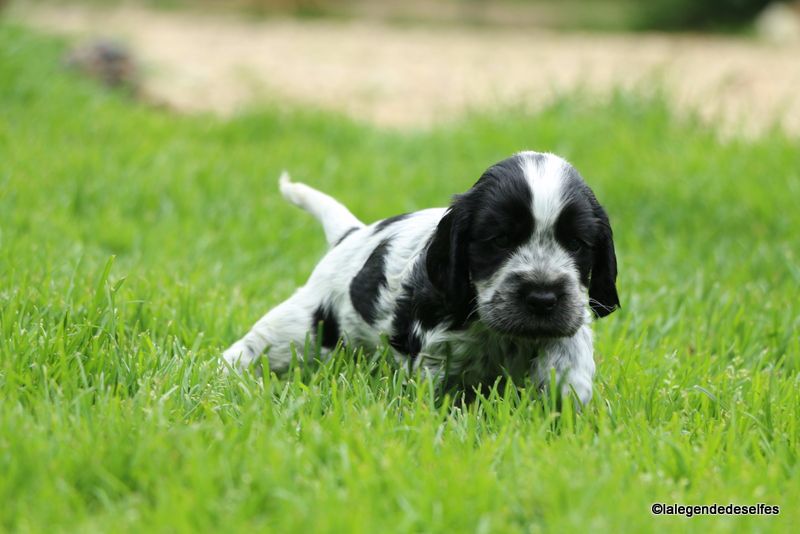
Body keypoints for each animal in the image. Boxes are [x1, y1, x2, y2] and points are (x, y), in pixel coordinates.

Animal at [222, 151, 619, 405]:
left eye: (576, 243)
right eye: (500, 240)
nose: (542, 298)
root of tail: (351, 234)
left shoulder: (566, 322)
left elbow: (570, 355)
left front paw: (570, 403)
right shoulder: (433, 352)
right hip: (304, 324)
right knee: (256, 345)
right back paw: (225, 373)